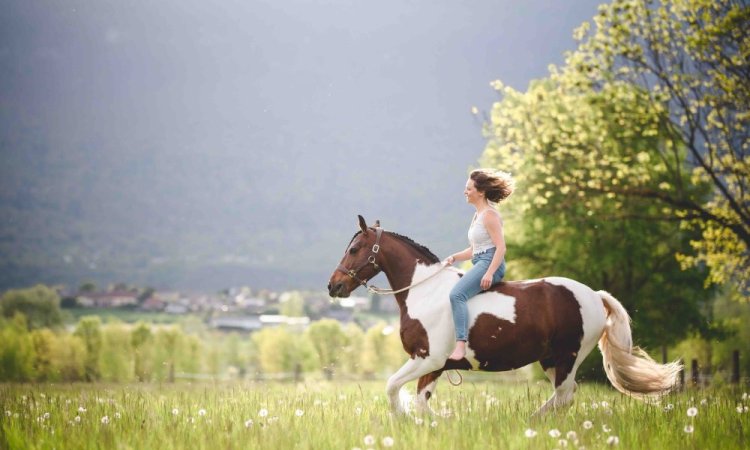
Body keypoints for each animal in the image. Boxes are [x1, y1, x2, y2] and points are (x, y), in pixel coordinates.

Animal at [326, 216, 684, 416]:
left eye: (355, 249)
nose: (334, 285)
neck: (424, 292)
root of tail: (594, 296)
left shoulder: (428, 359)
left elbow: (391, 388)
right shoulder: (435, 366)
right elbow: (420, 402)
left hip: (568, 357)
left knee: (563, 395)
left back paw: (532, 422)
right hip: (550, 360)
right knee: (566, 396)